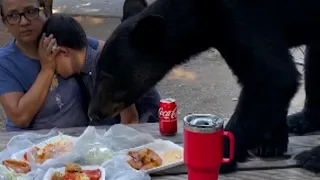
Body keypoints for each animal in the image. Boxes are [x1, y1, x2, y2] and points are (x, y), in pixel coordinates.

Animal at [88, 0, 320, 173]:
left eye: (107, 76)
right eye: (96, 71)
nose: (93, 113)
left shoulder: (244, 16)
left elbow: (273, 76)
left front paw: (221, 154)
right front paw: (271, 142)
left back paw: (312, 157)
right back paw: (302, 120)